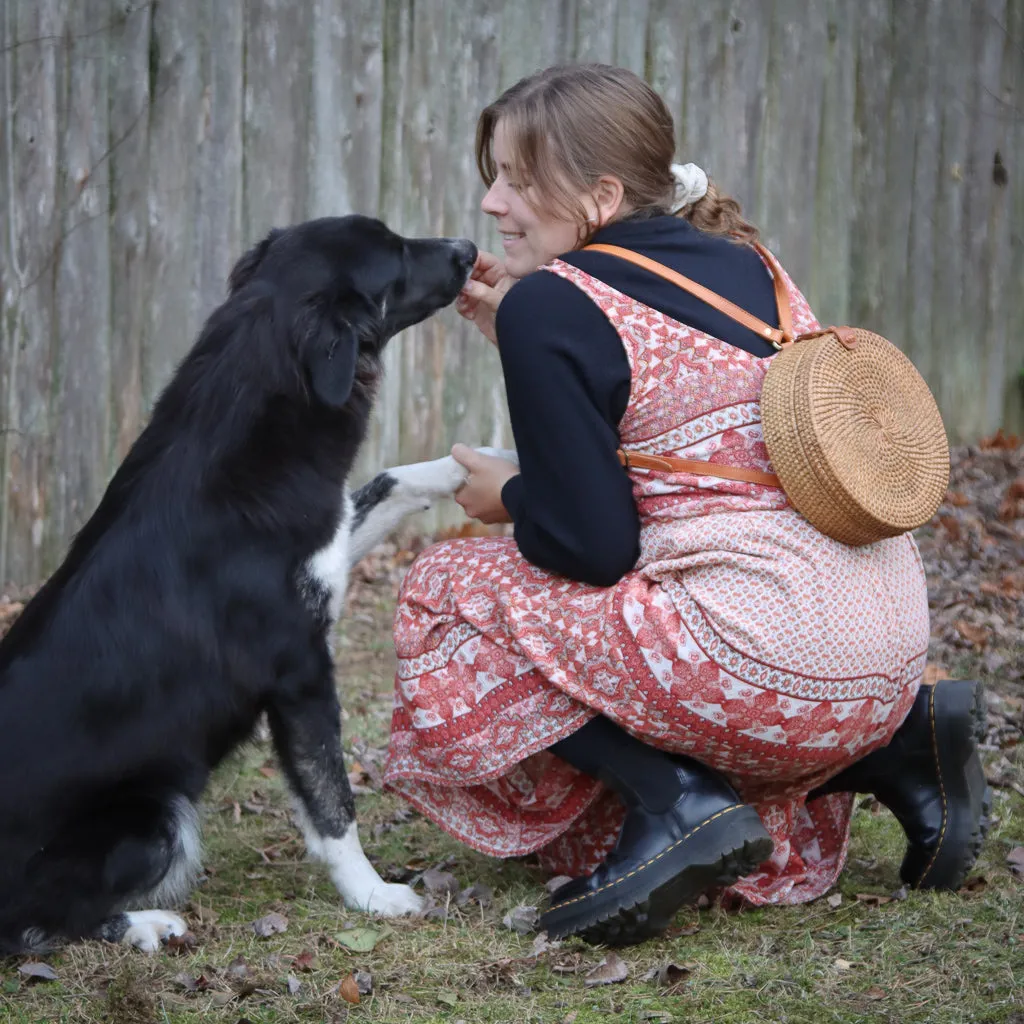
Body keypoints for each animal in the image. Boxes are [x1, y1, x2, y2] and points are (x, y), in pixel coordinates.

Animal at [0, 218, 512, 958]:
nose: (467, 249)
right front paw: (373, 896)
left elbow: (392, 479)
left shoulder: (328, 544)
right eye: (395, 256)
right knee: (31, 921)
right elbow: (332, 800)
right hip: (154, 815)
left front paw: (489, 463)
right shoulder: (299, 672)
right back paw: (146, 924)